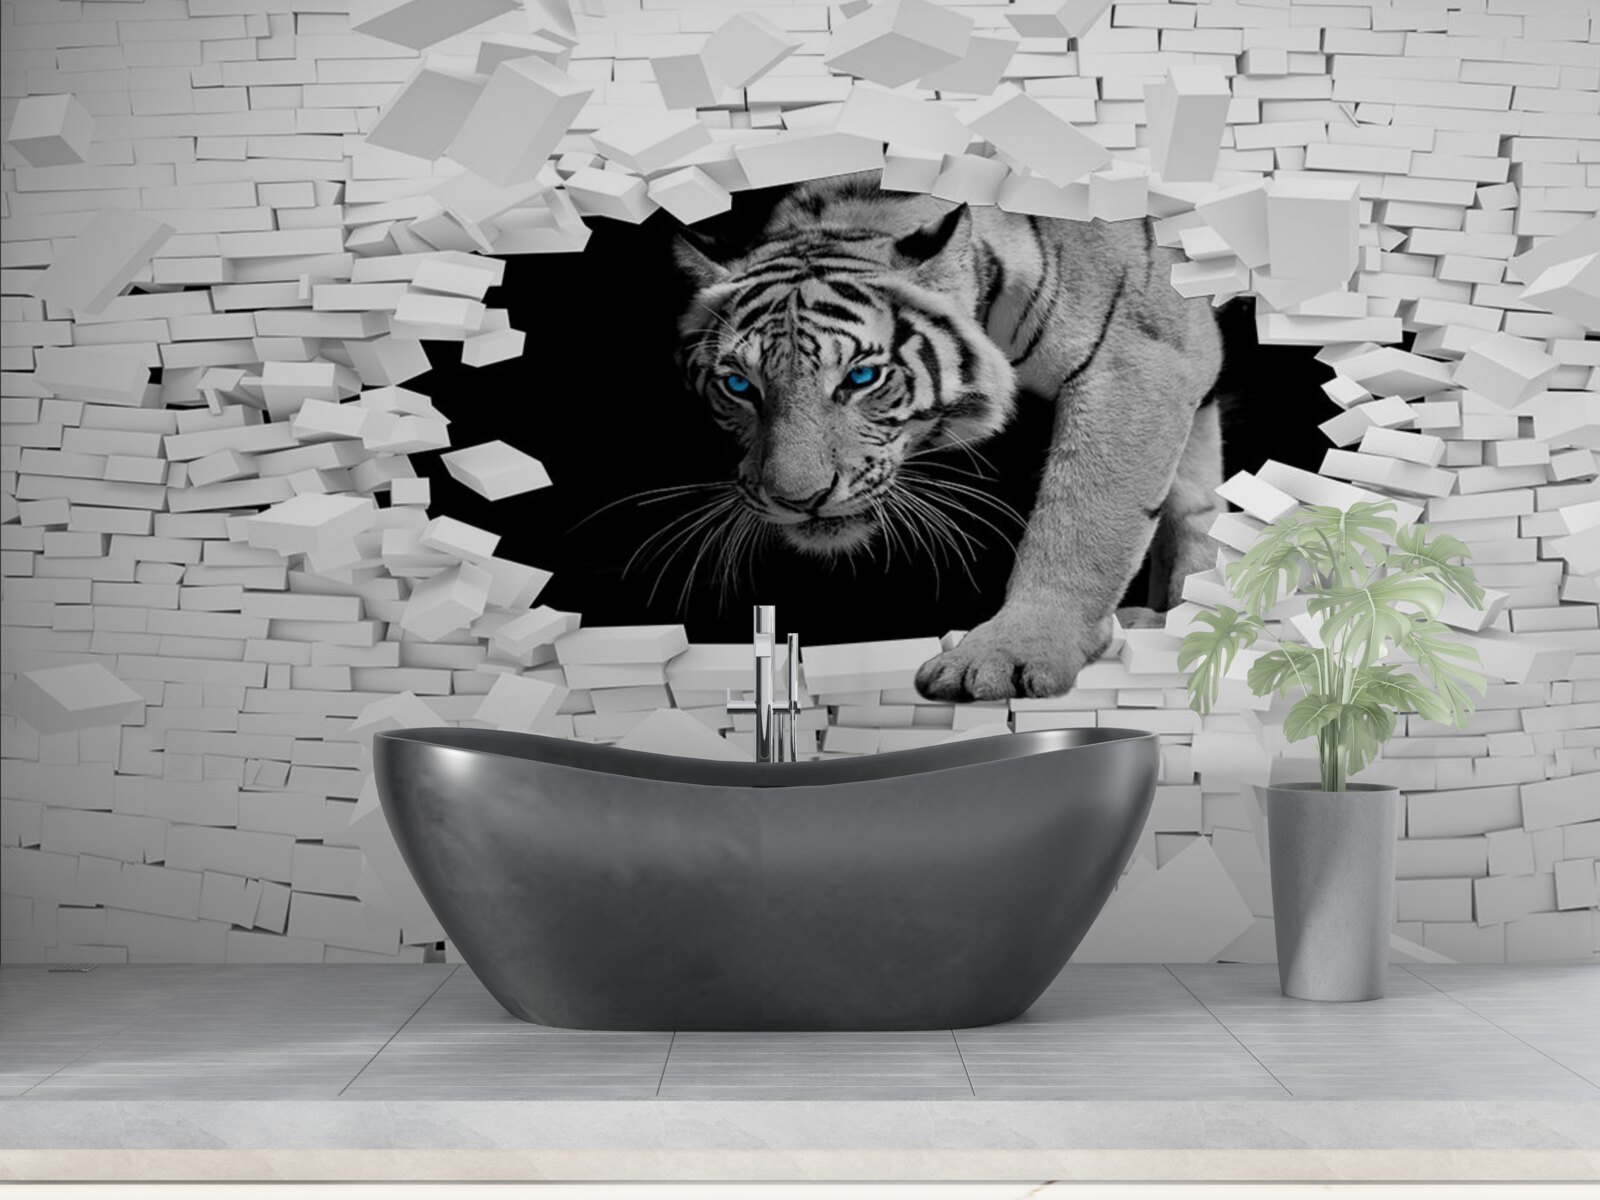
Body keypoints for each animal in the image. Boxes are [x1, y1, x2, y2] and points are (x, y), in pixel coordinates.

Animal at [674, 170, 1225, 702]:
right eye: (739, 386)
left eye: (861, 377)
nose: (800, 500)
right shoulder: (1188, 359)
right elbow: (1195, 498)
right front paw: (1188, 613)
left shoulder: (1134, 359)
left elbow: (1082, 522)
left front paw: (1013, 652)